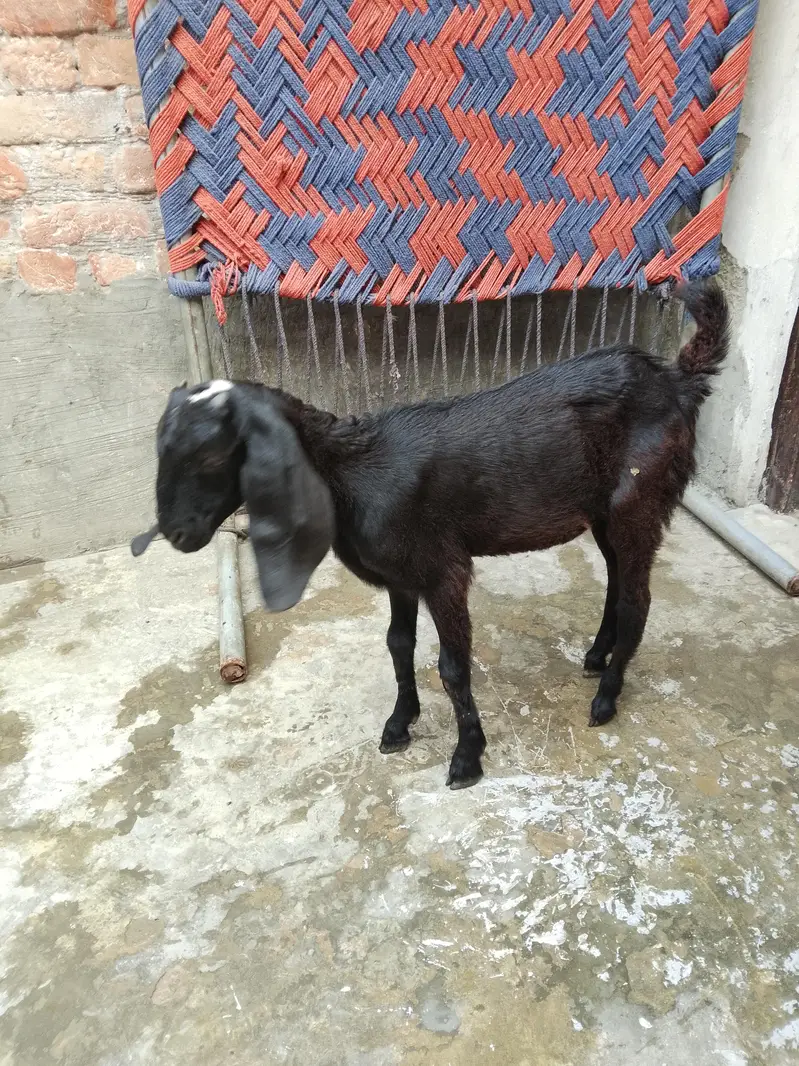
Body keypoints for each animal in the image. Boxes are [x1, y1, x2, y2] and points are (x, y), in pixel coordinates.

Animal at [135, 281, 728, 789]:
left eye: (211, 455)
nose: (177, 533)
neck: (352, 471)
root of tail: (678, 380)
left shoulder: (444, 569)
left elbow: (452, 667)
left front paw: (467, 757)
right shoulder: (401, 574)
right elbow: (399, 646)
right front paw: (400, 724)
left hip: (640, 500)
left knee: (637, 598)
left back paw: (605, 700)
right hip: (605, 512)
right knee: (617, 582)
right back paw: (596, 656)